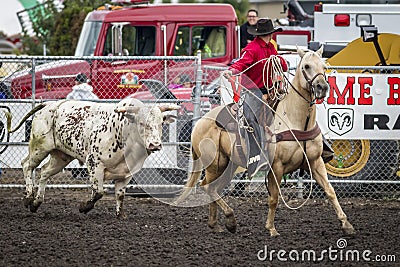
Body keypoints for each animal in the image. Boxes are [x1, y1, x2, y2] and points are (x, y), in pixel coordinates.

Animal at [4, 98, 180, 218]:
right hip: (39, 148)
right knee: (27, 165)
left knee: (45, 172)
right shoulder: (95, 164)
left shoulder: (126, 175)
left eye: (161, 123)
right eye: (141, 123)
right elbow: (98, 192)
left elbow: (120, 195)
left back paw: (36, 203)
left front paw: (120, 215)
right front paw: (84, 207)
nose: (155, 144)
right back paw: (28, 197)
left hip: (61, 157)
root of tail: (50, 104)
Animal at [177, 47, 354, 237]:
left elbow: (330, 191)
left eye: (324, 66)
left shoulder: (315, 162)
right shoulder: (276, 166)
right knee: (207, 187)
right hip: (215, 164)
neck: (295, 119)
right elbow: (274, 198)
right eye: (306, 66)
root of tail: (200, 122)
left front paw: (346, 224)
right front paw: (271, 228)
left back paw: (216, 224)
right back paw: (230, 220)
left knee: (213, 188)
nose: (322, 87)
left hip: (228, 165)